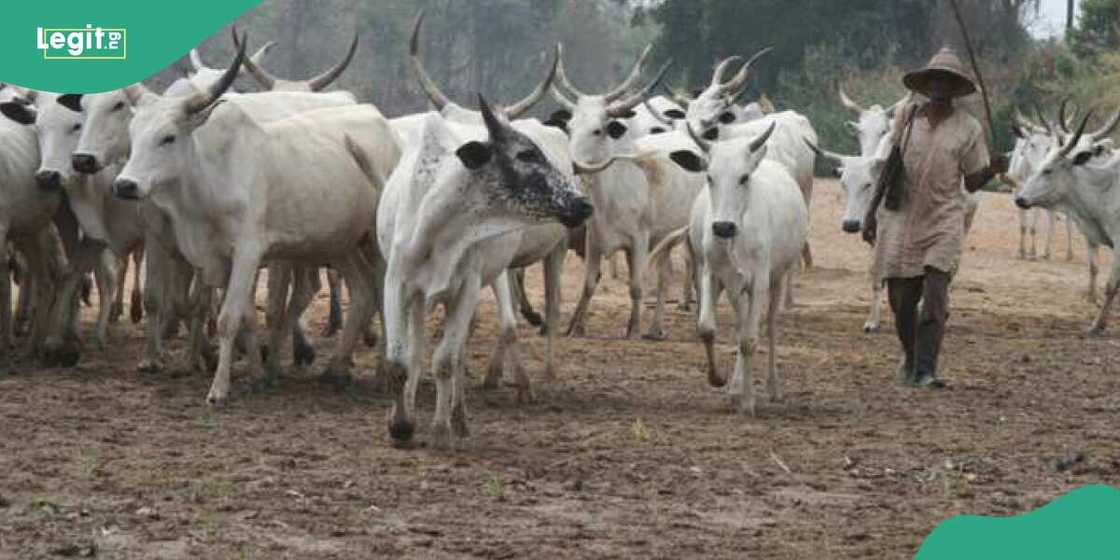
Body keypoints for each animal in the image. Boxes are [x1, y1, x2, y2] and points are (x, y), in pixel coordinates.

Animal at [378, 100, 595, 450]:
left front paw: (441, 430)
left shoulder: (466, 287)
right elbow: (400, 363)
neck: (436, 225)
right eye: (525, 154)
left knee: (459, 353)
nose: (583, 203)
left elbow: (445, 362)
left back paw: (459, 418)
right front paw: (401, 425)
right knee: (418, 351)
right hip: (423, 297)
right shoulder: (397, 284)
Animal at [654, 122, 806, 416]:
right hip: (736, 287)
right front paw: (720, 379)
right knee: (740, 326)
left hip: (778, 276)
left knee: (769, 325)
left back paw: (773, 387)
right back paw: (735, 388)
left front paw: (748, 402)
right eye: (709, 177)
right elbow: (707, 329)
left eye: (744, 177)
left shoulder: (759, 280)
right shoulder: (711, 274)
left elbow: (750, 340)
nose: (723, 226)